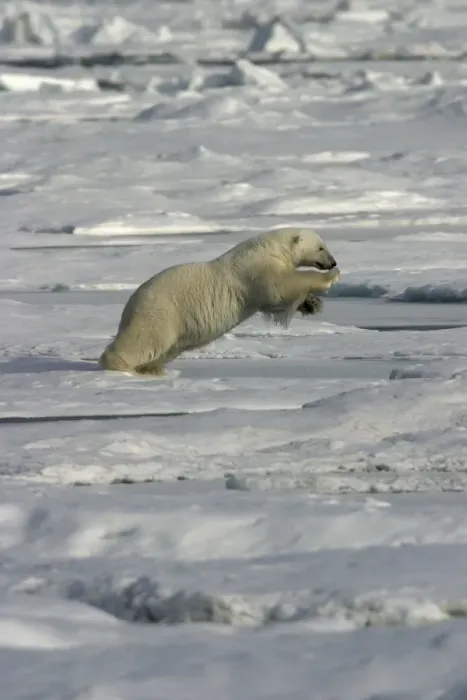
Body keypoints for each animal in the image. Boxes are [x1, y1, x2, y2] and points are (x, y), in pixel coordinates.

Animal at [99, 226, 340, 376]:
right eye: (321, 247)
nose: (333, 262)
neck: (271, 247)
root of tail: (130, 305)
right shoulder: (256, 268)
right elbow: (281, 286)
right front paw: (331, 277)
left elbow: (276, 301)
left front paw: (313, 304)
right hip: (161, 312)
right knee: (145, 340)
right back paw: (118, 364)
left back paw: (152, 369)